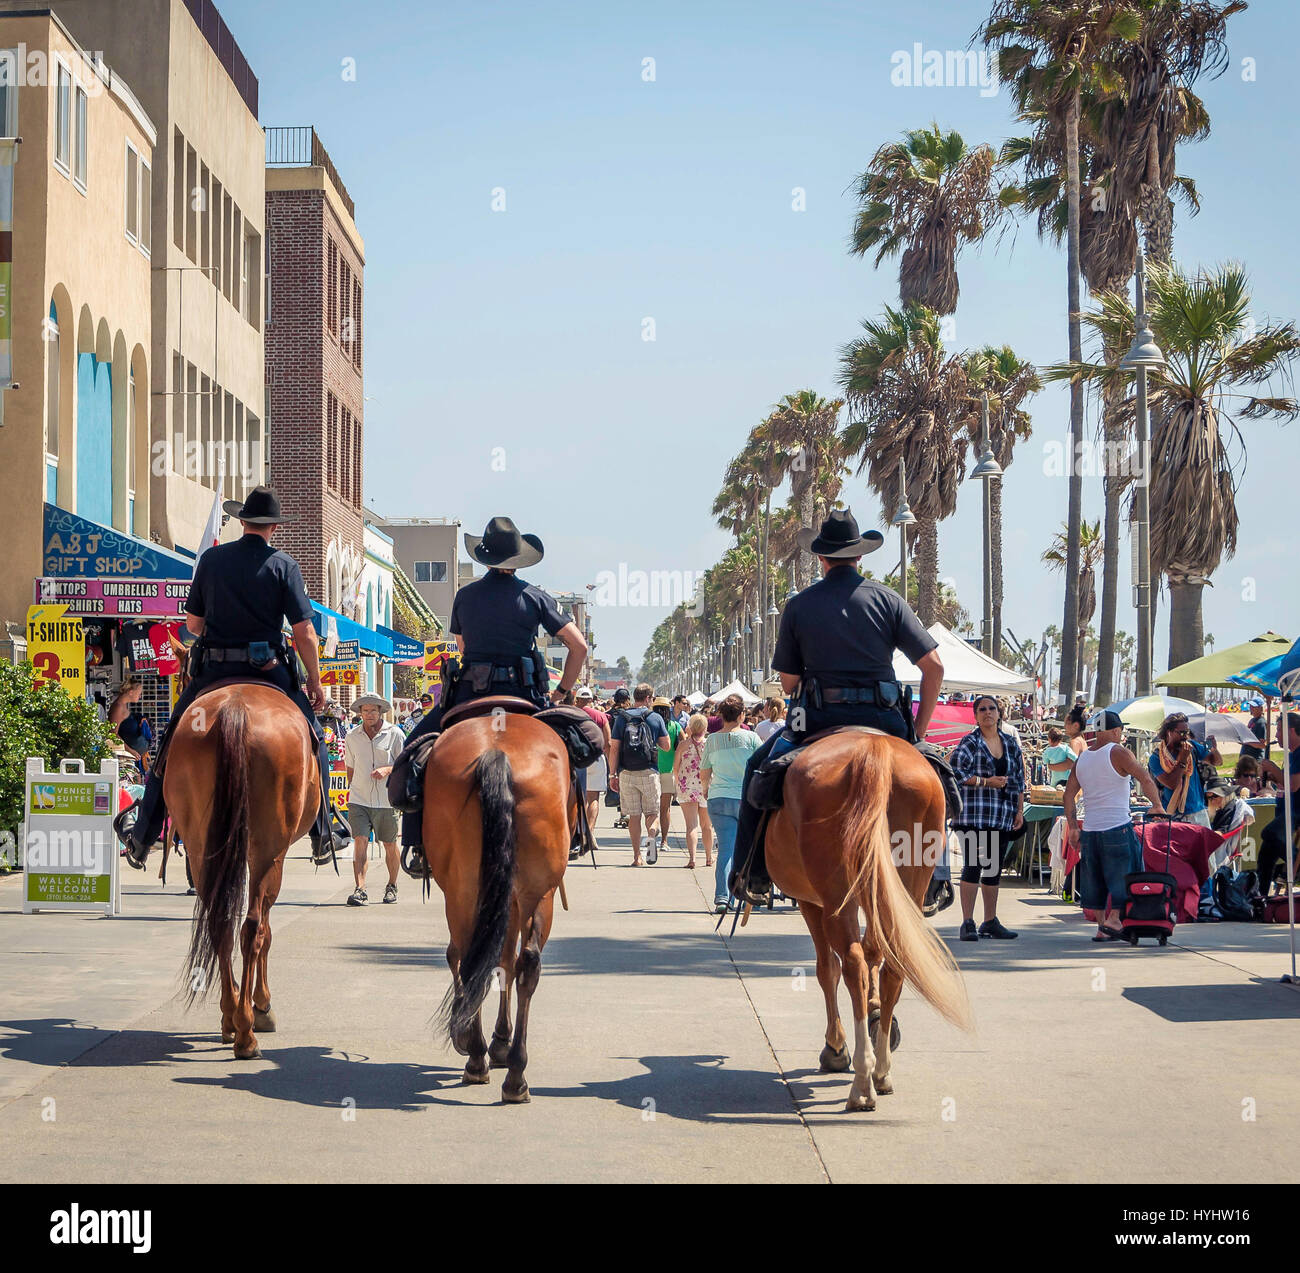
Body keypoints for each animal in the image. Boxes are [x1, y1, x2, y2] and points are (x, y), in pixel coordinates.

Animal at [165, 681, 317, 1061]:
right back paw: (248, 1030)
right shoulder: (274, 859)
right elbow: (267, 930)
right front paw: (261, 1003)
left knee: (220, 924)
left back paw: (231, 1015)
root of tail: (234, 711)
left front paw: (233, 1009)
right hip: (267, 850)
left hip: (201, 847)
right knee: (252, 929)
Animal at [423, 712, 572, 1102]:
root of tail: (496, 752)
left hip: (463, 889)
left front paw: (484, 1040)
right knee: (525, 964)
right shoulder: (517, 897)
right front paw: (501, 1043)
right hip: (537, 892)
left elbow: (491, 958)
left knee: (469, 956)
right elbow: (505, 960)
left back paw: (477, 1056)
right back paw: (515, 1075)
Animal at [764, 733, 972, 1107]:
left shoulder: (810, 902)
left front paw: (835, 1047)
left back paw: (861, 1080)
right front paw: (877, 1017)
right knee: (892, 965)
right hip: (906, 886)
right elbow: (875, 952)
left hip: (836, 899)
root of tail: (873, 749)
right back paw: (881, 1070)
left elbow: (827, 969)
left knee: (852, 964)